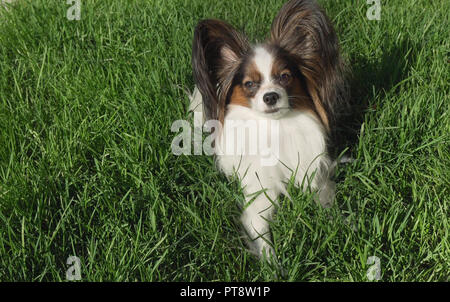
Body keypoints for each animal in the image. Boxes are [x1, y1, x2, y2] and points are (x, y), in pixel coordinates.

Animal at [190, 0, 348, 260]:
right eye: (249, 84)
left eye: (284, 77)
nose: (271, 96)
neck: (276, 127)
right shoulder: (258, 196)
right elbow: (261, 236)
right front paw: (273, 264)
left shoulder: (314, 175)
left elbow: (329, 203)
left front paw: (348, 225)